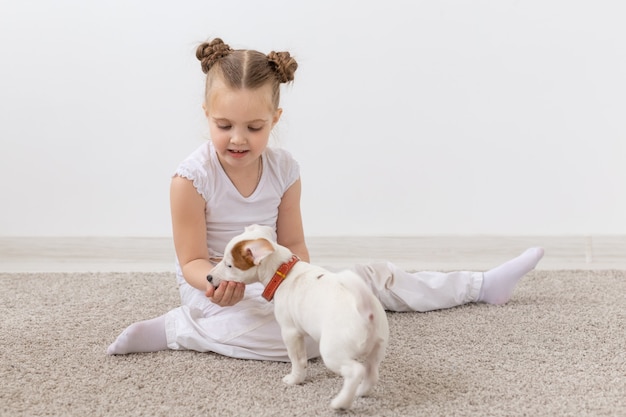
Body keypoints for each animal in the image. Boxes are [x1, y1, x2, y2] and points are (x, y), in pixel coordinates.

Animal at [207, 224, 388, 410]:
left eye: (229, 265)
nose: (208, 277)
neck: (282, 273)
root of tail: (365, 310)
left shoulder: (290, 333)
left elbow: (298, 360)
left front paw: (295, 379)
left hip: (332, 352)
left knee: (355, 371)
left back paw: (341, 402)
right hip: (377, 349)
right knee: (372, 372)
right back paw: (361, 392)